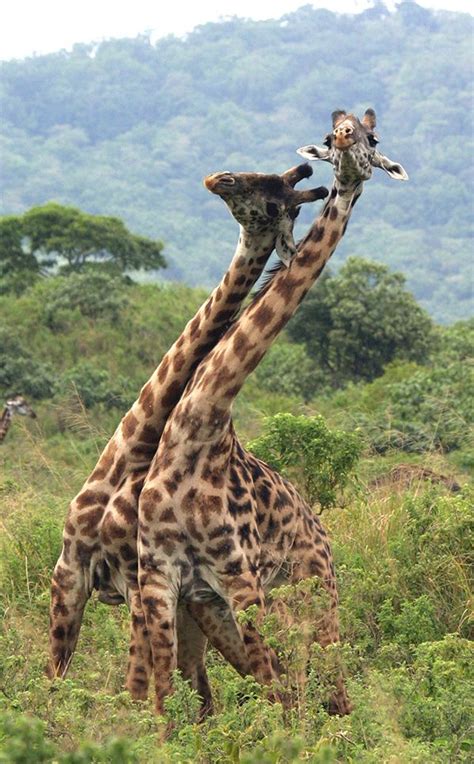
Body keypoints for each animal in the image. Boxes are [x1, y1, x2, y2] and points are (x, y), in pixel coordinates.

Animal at [136, 107, 408, 716]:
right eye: (333, 135)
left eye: (371, 138)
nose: (220, 177)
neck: (199, 427)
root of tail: (324, 537)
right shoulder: (160, 576)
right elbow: (162, 704)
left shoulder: (238, 576)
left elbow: (276, 697)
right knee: (287, 686)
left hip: (314, 600)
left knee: (319, 687)